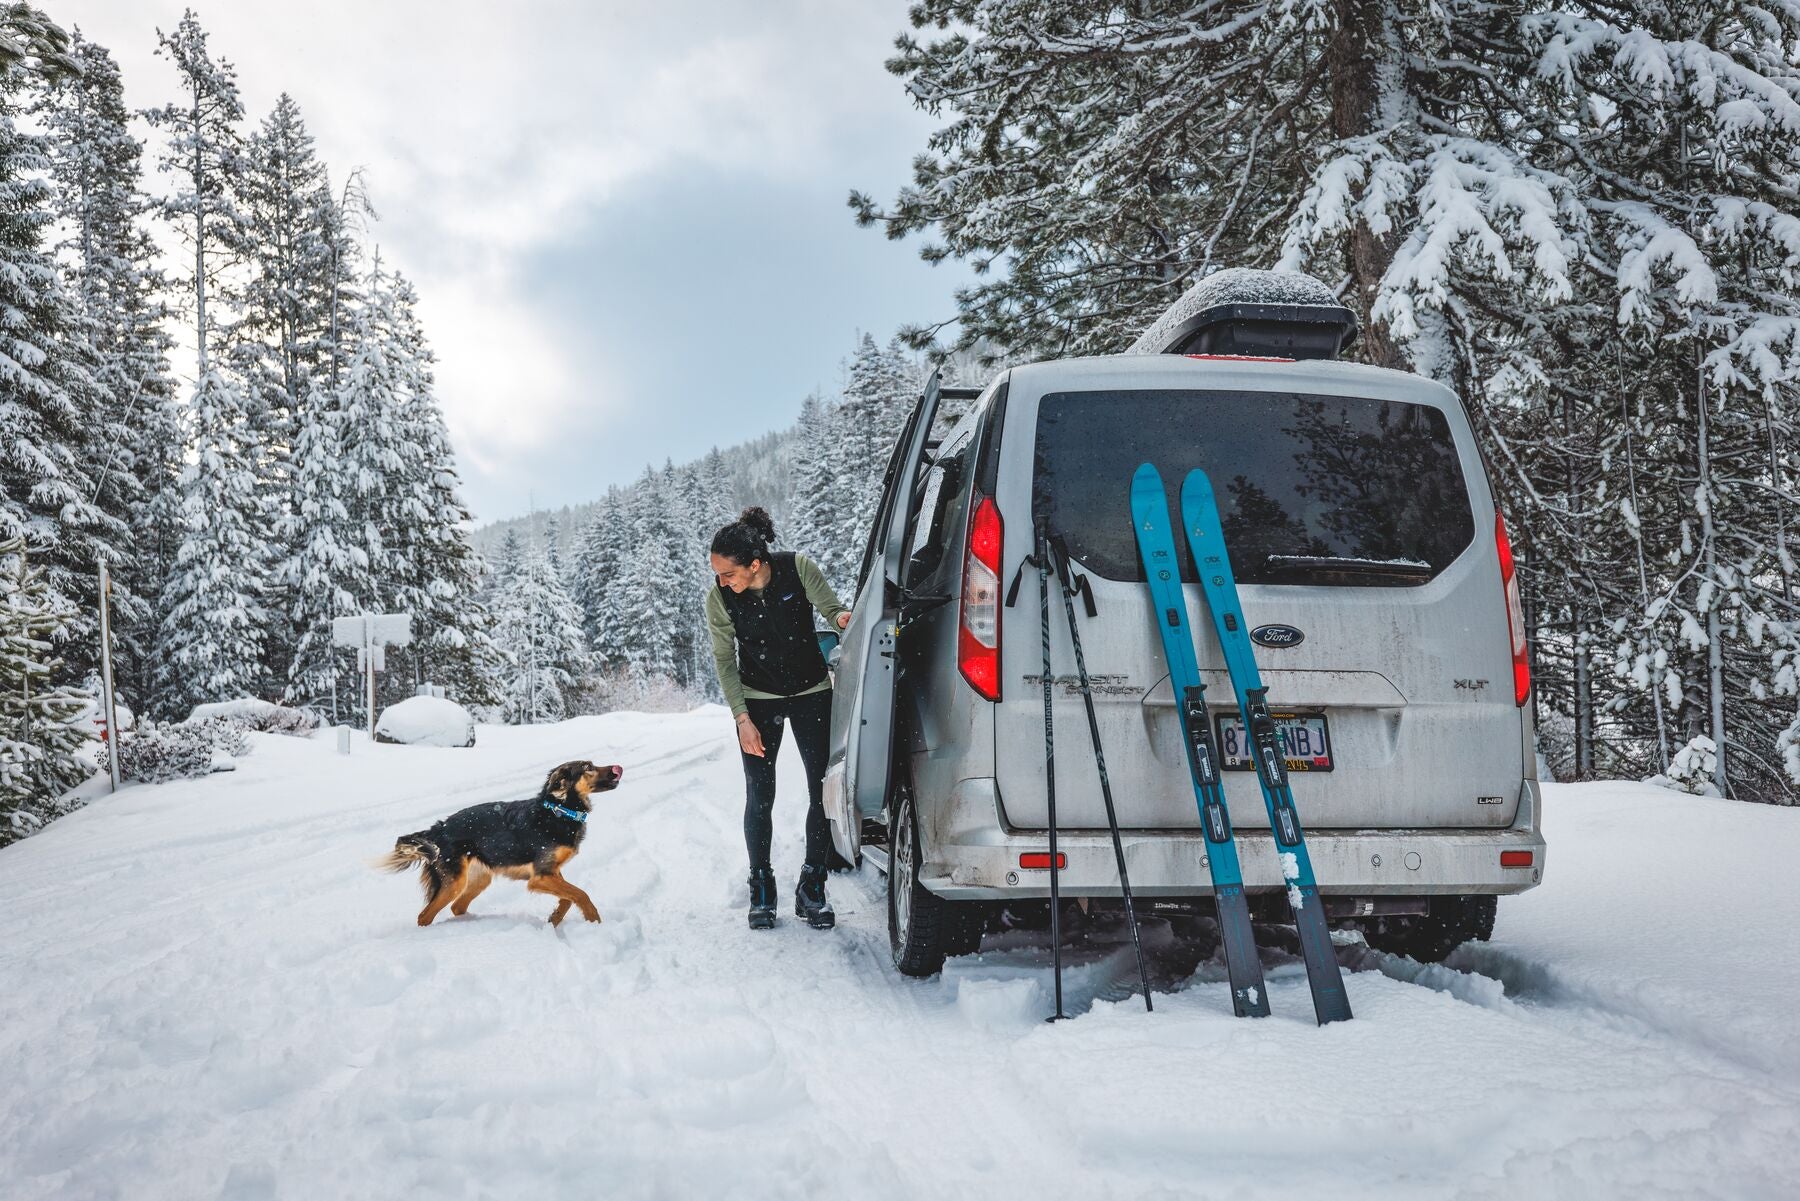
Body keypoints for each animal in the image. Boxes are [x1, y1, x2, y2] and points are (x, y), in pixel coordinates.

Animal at [376, 759, 622, 929]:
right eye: (588, 767)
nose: (616, 768)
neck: (559, 810)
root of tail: (438, 828)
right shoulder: (540, 876)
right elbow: (580, 894)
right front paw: (595, 920)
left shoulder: (550, 872)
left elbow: (568, 898)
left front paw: (555, 918)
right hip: (454, 881)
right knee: (425, 915)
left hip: (479, 878)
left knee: (457, 907)